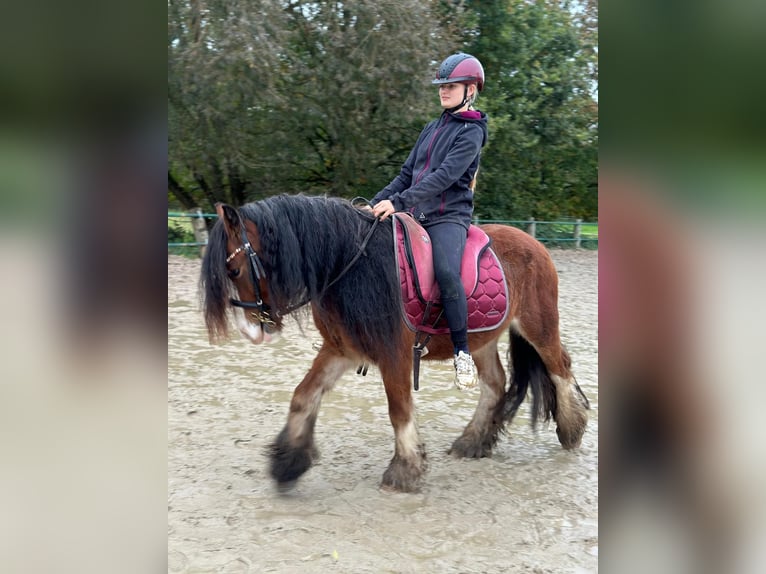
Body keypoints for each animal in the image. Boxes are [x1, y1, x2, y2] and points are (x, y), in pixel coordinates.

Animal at [201, 195, 592, 496]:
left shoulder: (394, 356)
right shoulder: (340, 350)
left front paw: (404, 470)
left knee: (560, 368)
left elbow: (399, 410)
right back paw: (473, 442)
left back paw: (571, 429)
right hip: (480, 341)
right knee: (495, 384)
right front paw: (287, 463)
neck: (350, 264)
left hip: (539, 326)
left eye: (234, 271)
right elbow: (302, 397)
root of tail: (534, 243)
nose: (252, 331)